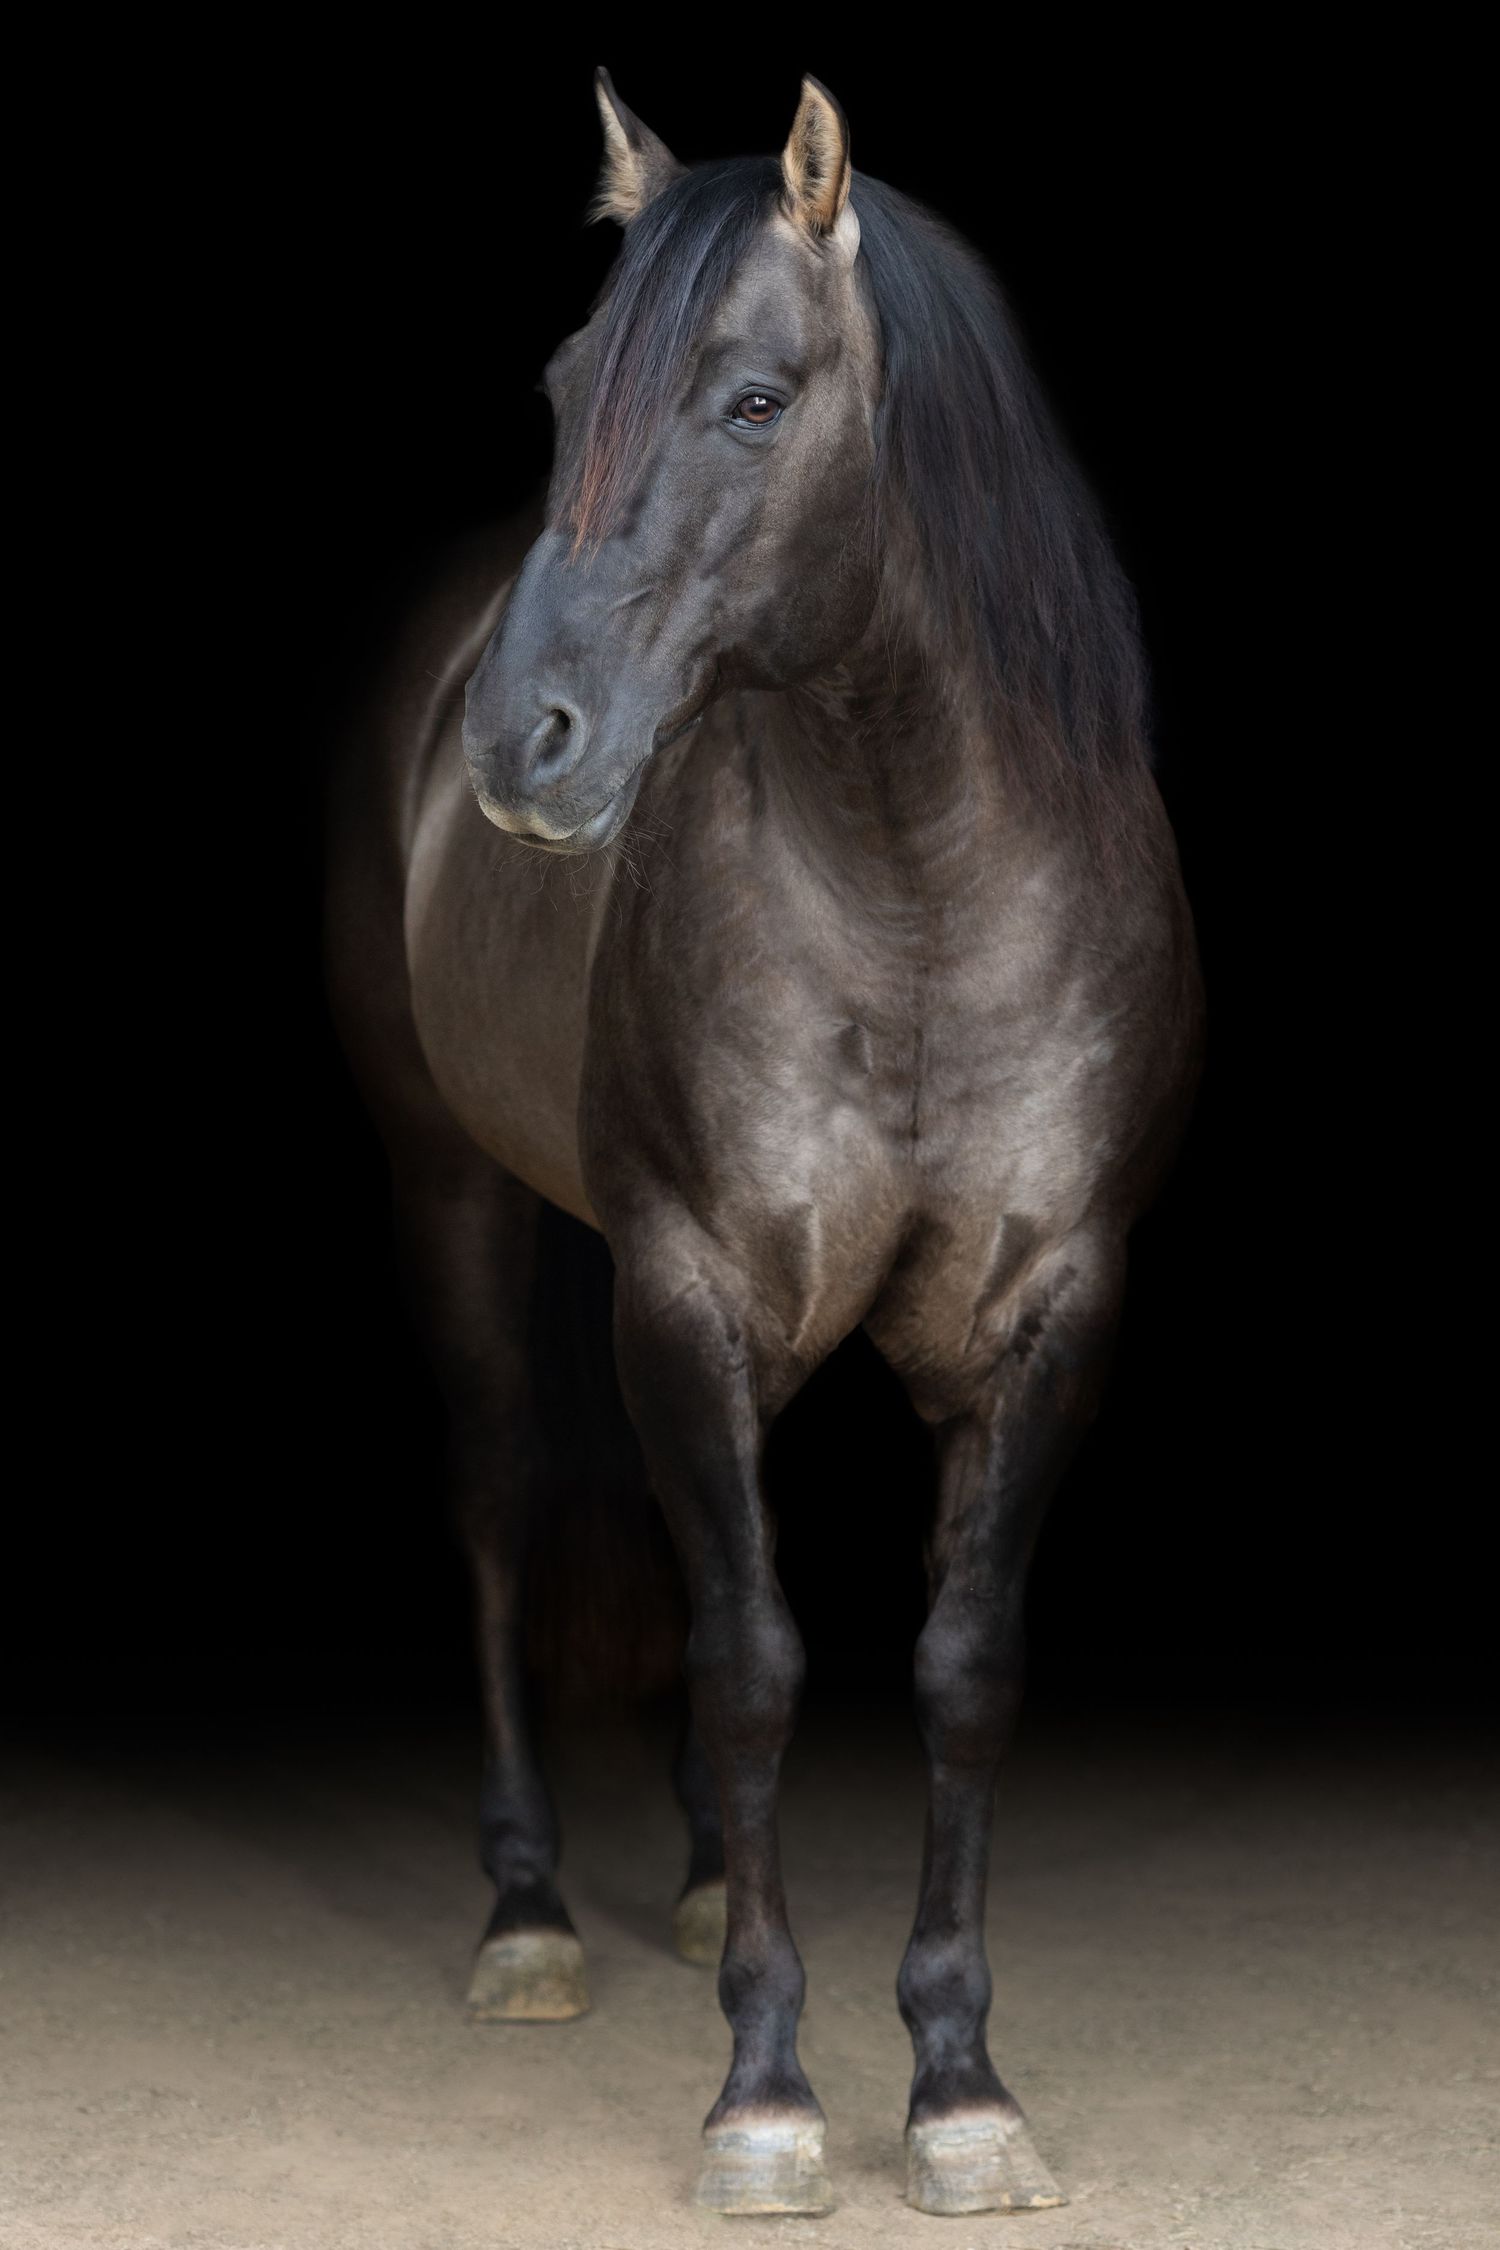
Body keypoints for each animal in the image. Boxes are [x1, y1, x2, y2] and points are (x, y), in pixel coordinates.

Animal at [325, 68, 1203, 2221]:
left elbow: (958, 1666)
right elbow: (750, 1662)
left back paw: (713, 1884)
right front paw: (768, 2095)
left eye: (752, 398)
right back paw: (532, 1913)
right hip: (455, 1193)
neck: (915, 883)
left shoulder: (1050, 1309)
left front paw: (962, 2089)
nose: (524, 744)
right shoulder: (690, 1286)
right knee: (500, 1501)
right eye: (567, 384)